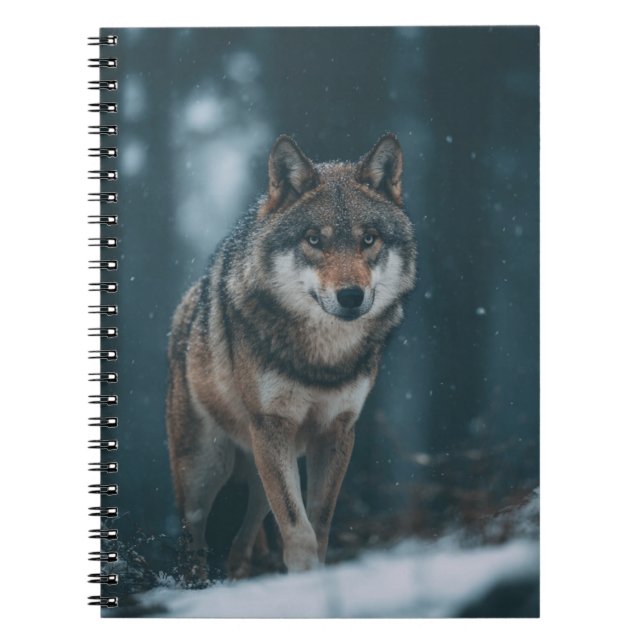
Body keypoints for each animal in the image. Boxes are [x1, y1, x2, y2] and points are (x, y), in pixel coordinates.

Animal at [166, 133, 417, 582]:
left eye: (368, 238)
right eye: (314, 239)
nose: (350, 296)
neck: (323, 359)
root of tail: (185, 308)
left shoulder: (336, 431)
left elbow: (318, 524)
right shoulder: (273, 425)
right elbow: (298, 529)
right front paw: (306, 580)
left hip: (257, 467)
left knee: (245, 534)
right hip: (206, 469)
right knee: (192, 536)